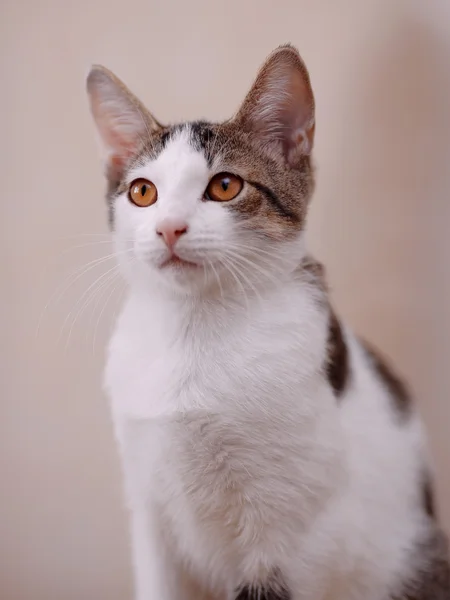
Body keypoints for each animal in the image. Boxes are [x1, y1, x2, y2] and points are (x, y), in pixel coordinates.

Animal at [86, 44, 448, 596]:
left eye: (225, 185)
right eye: (142, 192)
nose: (169, 227)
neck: (197, 328)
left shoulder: (288, 537)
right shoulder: (149, 512)